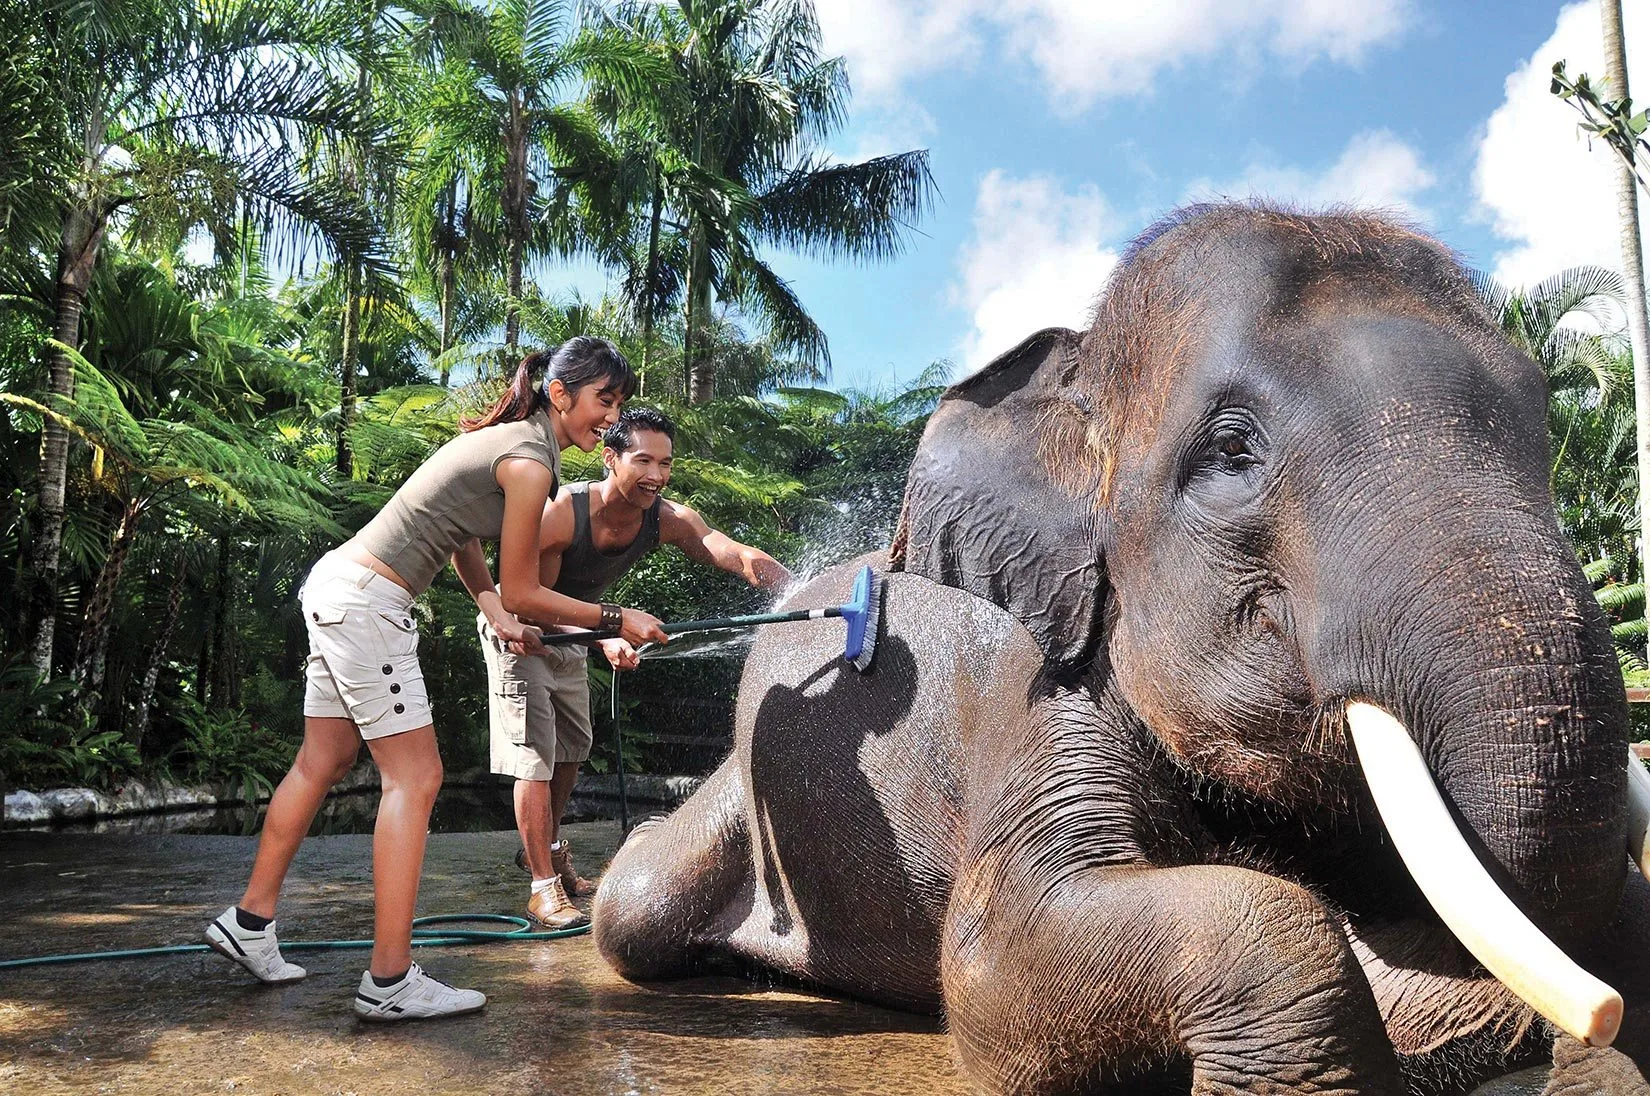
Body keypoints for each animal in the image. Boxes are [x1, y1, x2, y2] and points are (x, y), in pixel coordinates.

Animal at [594, 203, 1650, 1089]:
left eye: (1541, 423)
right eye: (1231, 451)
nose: (1601, 1016)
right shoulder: (1038, 691)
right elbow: (991, 959)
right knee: (634, 906)